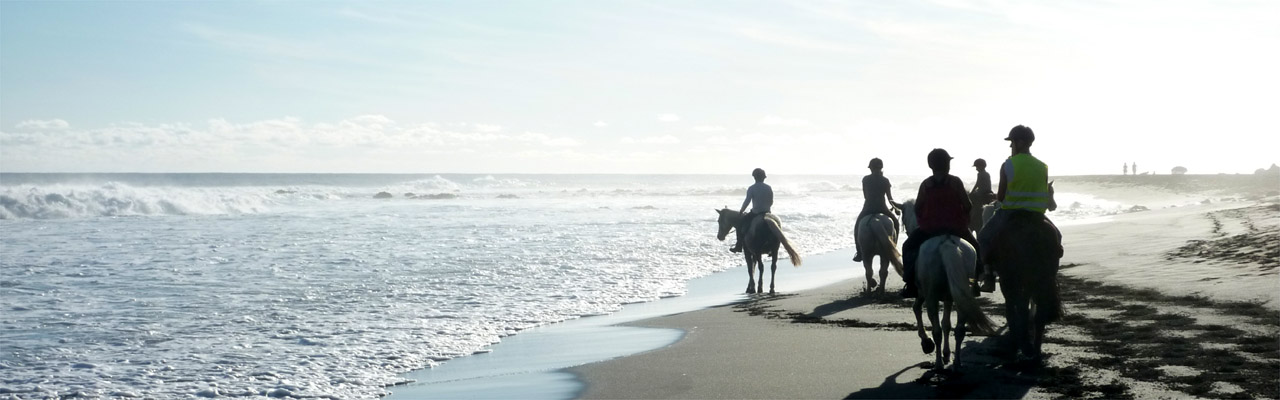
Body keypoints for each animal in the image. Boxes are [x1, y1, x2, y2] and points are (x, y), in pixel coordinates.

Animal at [896, 200, 993, 371]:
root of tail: (947, 242)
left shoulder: (923, 293)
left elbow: (917, 309)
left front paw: (926, 342)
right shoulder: (949, 297)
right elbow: (947, 324)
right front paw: (947, 354)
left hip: (931, 297)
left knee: (937, 330)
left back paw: (938, 364)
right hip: (962, 293)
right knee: (959, 329)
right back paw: (957, 363)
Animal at [983, 211, 1064, 361]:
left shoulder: (1007, 280)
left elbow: (1011, 308)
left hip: (1019, 278)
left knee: (1022, 307)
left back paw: (1026, 346)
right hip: (1041, 277)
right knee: (1040, 312)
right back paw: (1035, 350)